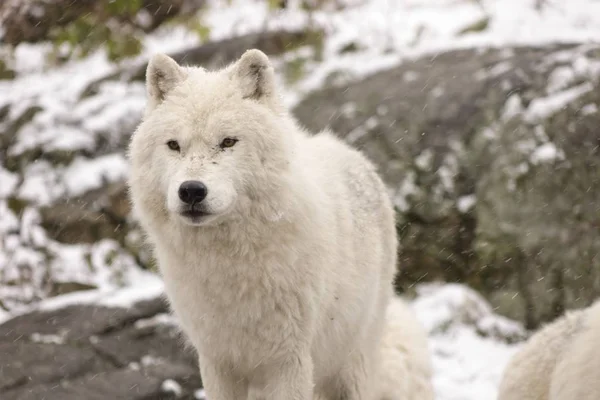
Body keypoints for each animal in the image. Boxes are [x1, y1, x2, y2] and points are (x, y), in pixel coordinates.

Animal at [129, 48, 434, 398]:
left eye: (228, 142)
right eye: (174, 145)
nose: (191, 190)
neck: (229, 266)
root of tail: (354, 156)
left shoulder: (289, 361)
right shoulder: (217, 362)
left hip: (351, 365)